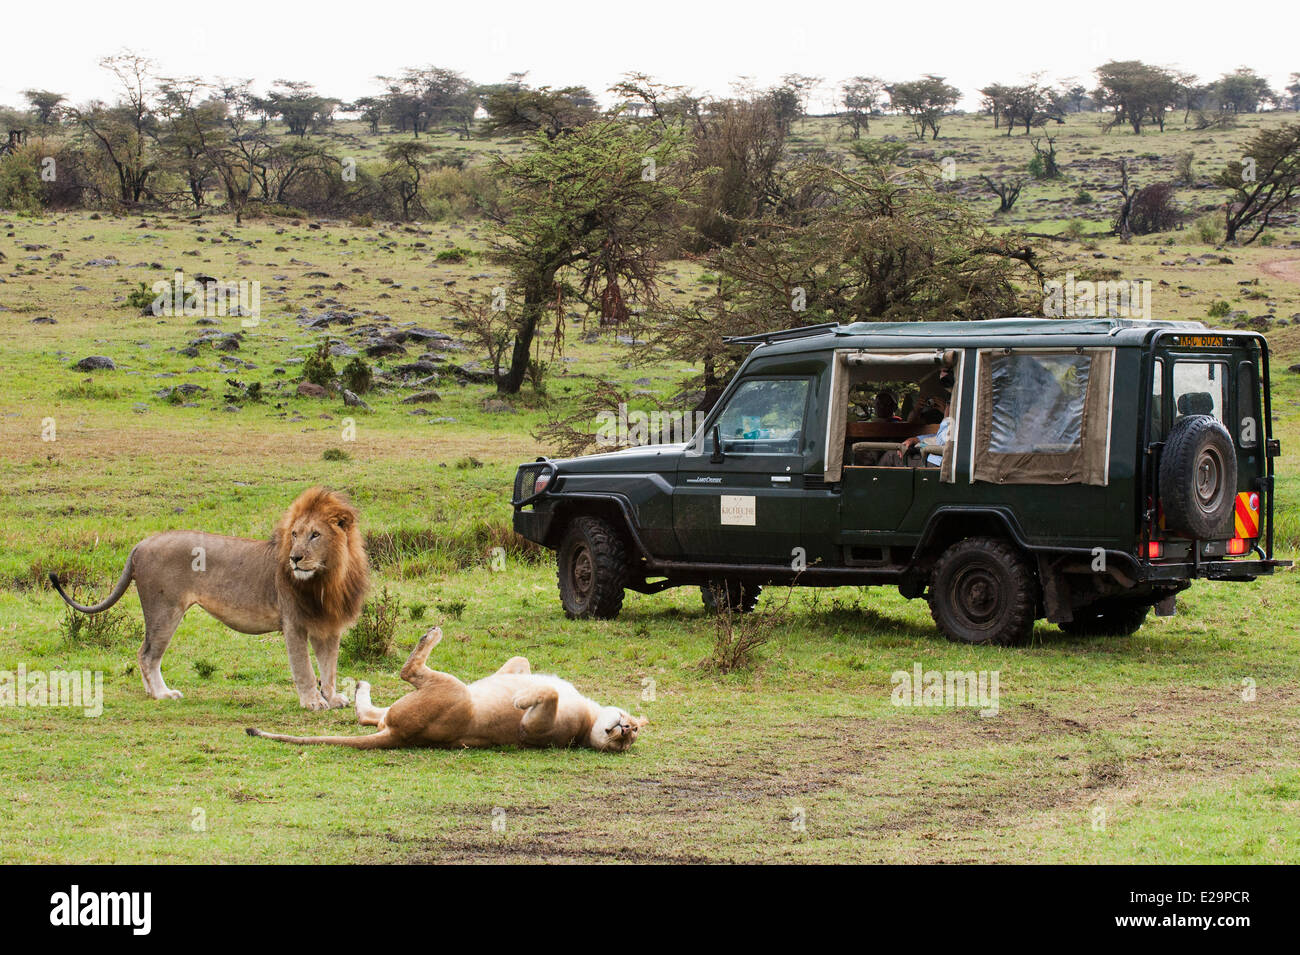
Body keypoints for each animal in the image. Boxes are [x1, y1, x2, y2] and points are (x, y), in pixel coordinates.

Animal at [50, 487, 369, 710]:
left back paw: (151, 692)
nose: (294, 558)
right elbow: (304, 668)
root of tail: (141, 543)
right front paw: (313, 702)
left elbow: (329, 666)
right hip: (165, 610)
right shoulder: (294, 623)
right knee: (147, 654)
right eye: (294, 534)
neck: (328, 577)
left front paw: (333, 698)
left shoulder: (328, 625)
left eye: (315, 535)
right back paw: (162, 694)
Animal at [247, 626, 647, 751]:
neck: (590, 716)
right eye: (631, 727)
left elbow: (545, 696)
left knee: (408, 671)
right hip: (410, 707)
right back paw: (360, 686)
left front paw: (520, 698)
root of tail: (400, 736)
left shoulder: (537, 731)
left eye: (627, 740)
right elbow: (521, 663)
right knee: (369, 716)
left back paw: (430, 636)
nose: (623, 728)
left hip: (452, 691)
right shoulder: (521, 666)